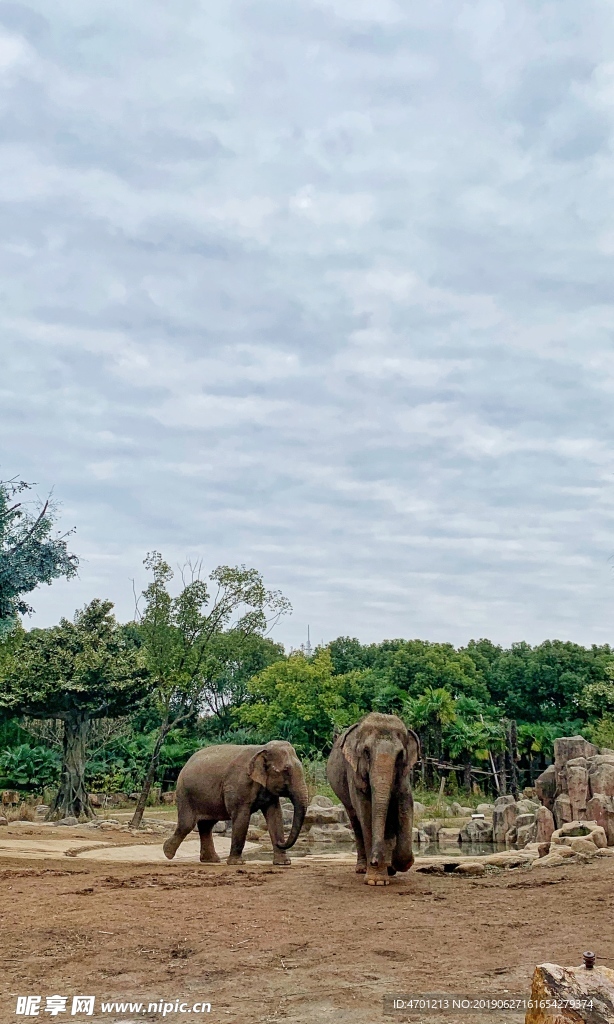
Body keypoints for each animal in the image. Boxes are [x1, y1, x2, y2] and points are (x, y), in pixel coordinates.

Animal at [162, 741, 309, 868]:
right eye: (286, 770)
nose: (280, 843)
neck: (261, 749)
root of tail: (186, 764)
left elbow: (275, 815)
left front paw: (283, 863)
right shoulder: (239, 785)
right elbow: (241, 817)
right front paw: (237, 863)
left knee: (206, 825)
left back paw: (211, 860)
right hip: (185, 793)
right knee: (187, 824)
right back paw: (167, 852)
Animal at [325, 716, 421, 884]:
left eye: (400, 755)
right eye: (366, 753)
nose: (375, 861)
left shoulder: (404, 776)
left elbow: (406, 804)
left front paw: (396, 865)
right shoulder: (355, 774)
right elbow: (366, 812)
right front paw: (376, 881)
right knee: (356, 821)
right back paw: (362, 869)